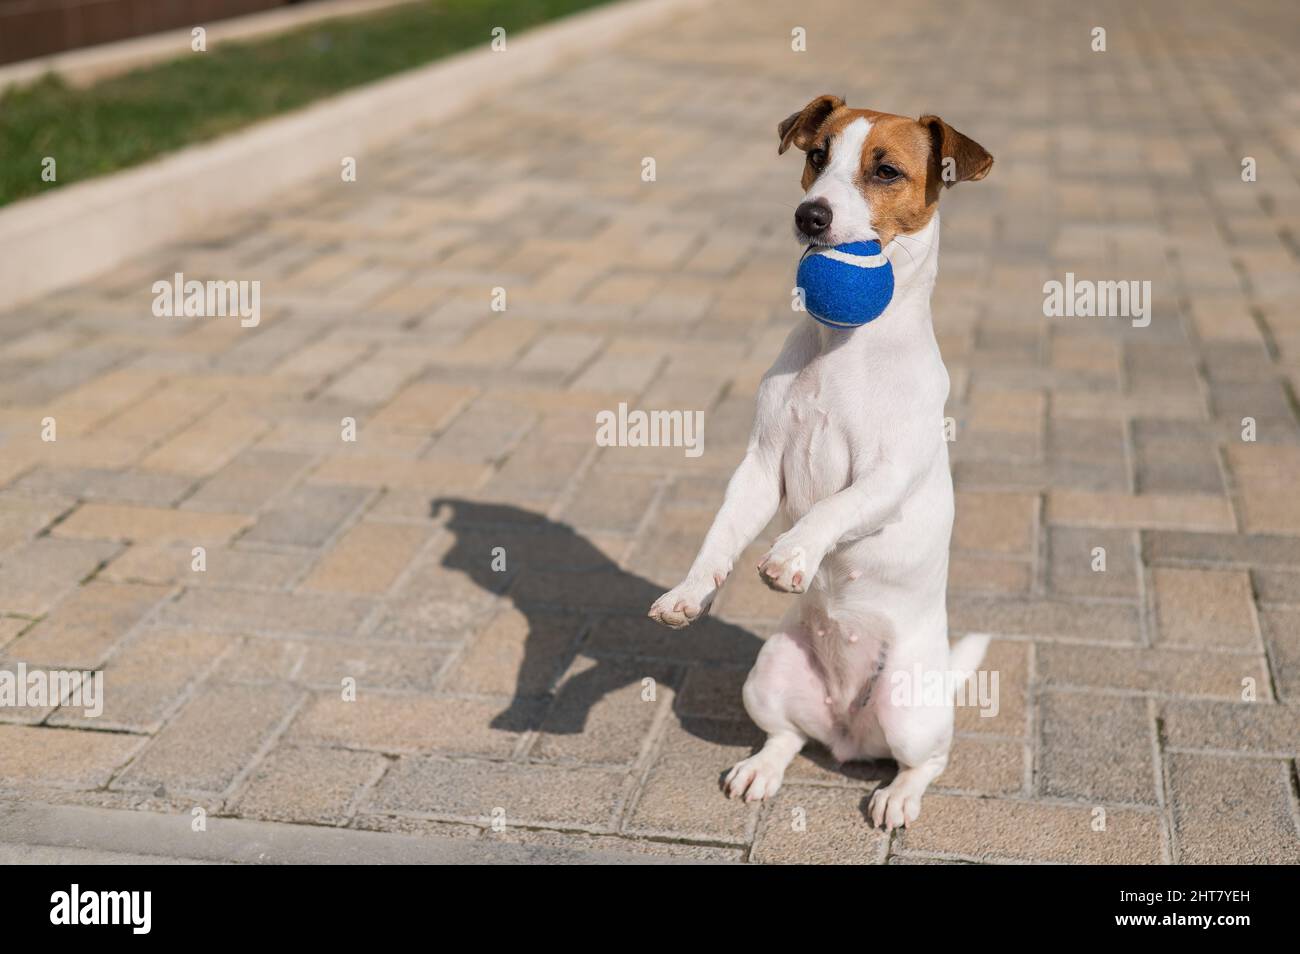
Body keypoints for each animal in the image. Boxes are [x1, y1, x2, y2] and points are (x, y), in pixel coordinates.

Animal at [647, 95, 993, 831]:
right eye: (816, 156)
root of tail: (849, 735)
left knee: (926, 761)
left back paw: (897, 796)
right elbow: (720, 533)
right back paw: (761, 769)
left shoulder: (888, 476)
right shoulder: (759, 465)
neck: (843, 347)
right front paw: (688, 593)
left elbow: (835, 506)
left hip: (909, 710)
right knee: (788, 736)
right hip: (769, 674)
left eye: (886, 170)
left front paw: (791, 556)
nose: (811, 216)